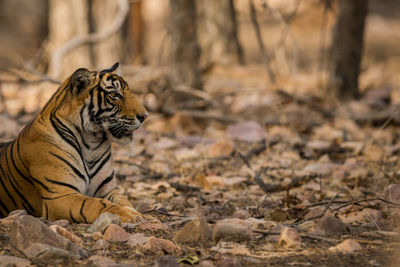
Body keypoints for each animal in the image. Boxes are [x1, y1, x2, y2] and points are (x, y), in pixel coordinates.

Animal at [0, 62, 149, 224]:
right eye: (114, 94)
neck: (91, 143)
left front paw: (138, 213)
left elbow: (123, 200)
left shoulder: (108, 190)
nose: (145, 116)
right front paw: (128, 214)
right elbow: (97, 204)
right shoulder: (59, 195)